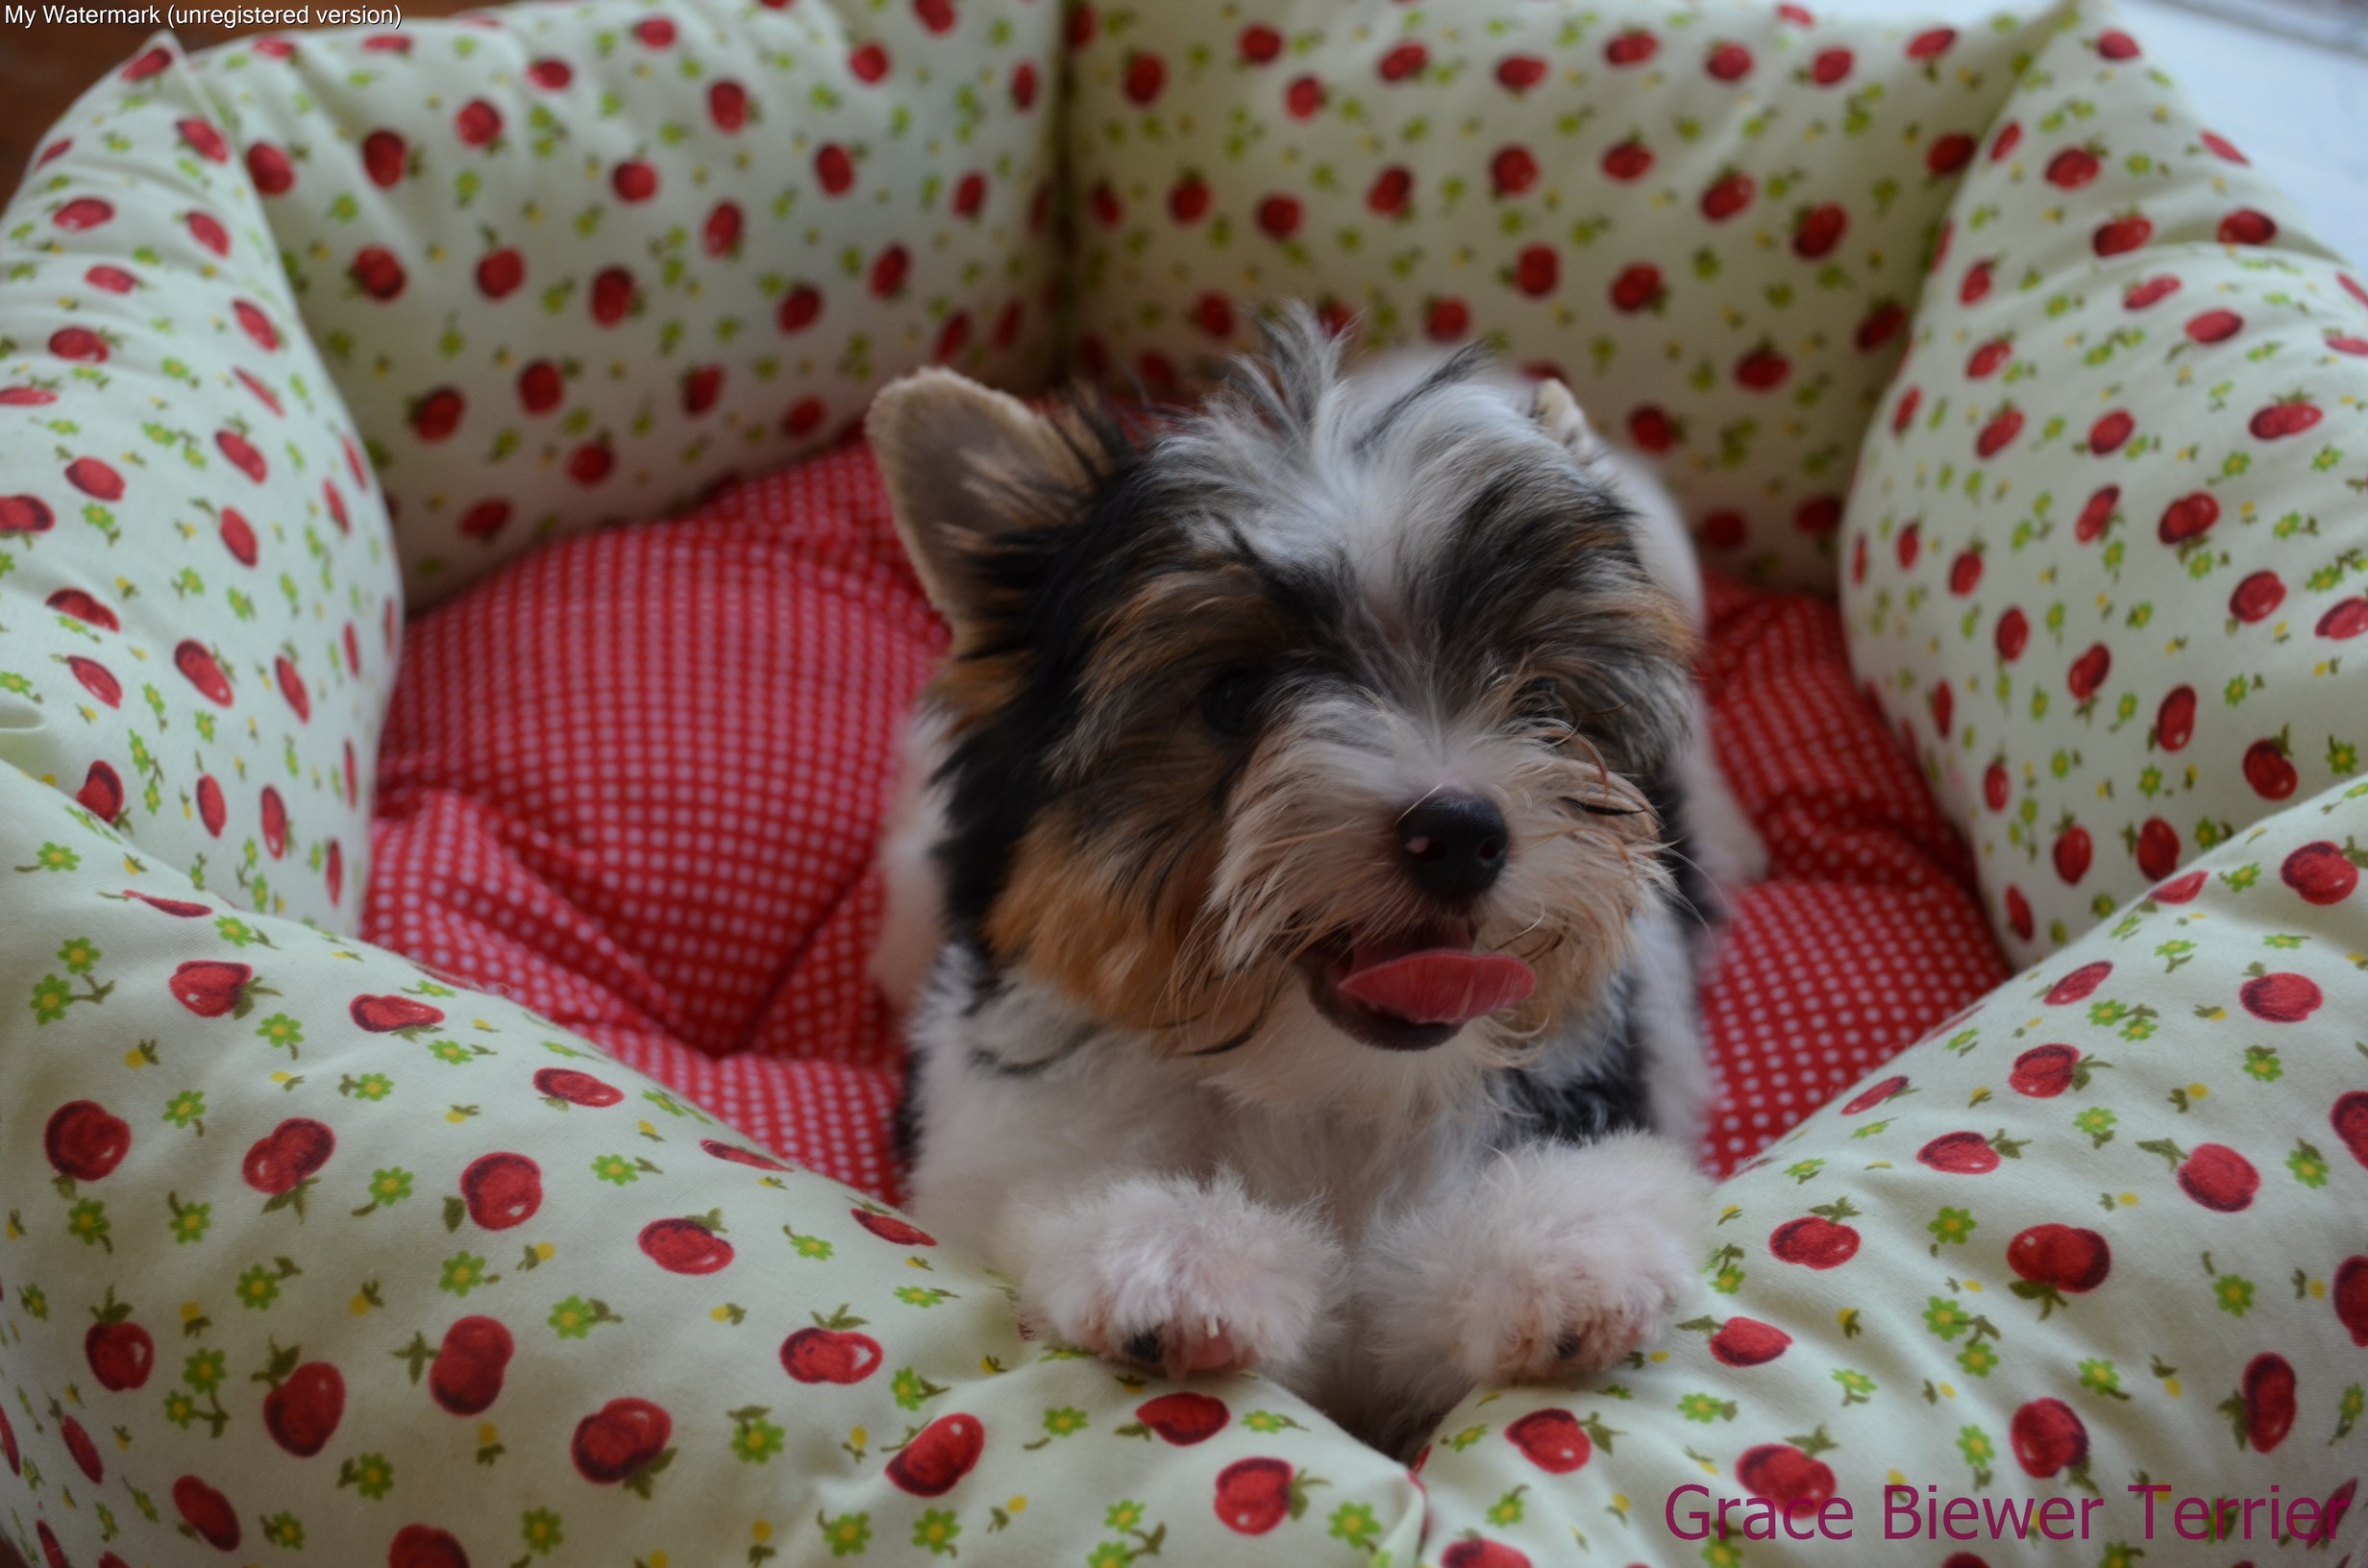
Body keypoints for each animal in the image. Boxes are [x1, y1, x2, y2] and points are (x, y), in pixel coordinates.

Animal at [864, 308, 1761, 1457]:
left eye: (1543, 698)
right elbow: (1064, 1198)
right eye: (1232, 695)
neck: (1327, 1092)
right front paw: (1182, 1259)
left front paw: (1555, 1259)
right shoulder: (1003, 1151)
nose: (1461, 832)